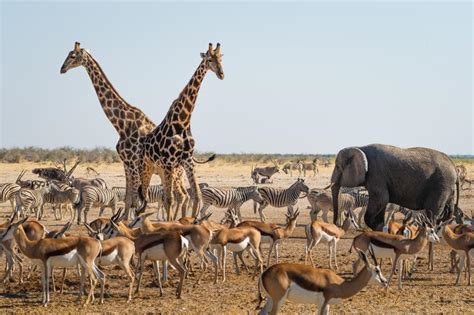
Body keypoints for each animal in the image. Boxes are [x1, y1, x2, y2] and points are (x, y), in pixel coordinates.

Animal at [58, 41, 206, 220]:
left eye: (73, 56)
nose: (62, 68)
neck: (122, 124)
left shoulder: (134, 163)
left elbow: (136, 200)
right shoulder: (126, 163)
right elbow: (130, 198)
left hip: (173, 172)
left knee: (180, 196)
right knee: (179, 196)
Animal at [137, 42, 224, 221]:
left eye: (221, 57)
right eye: (209, 59)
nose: (221, 74)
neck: (183, 121)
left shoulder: (187, 161)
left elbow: (196, 195)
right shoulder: (169, 162)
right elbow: (169, 199)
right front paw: (170, 223)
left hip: (161, 171)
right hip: (146, 168)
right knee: (144, 198)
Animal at [258, 249, 386, 315]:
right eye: (377, 270)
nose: (385, 282)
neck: (340, 285)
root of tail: (264, 273)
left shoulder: (327, 305)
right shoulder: (323, 302)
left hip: (270, 299)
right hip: (279, 300)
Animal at [330, 144, 460, 231]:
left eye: (338, 167)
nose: (336, 225)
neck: (360, 147)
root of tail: (453, 165)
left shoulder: (376, 174)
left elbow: (381, 200)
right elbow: (382, 203)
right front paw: (381, 230)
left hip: (441, 184)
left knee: (431, 212)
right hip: (447, 187)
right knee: (448, 212)